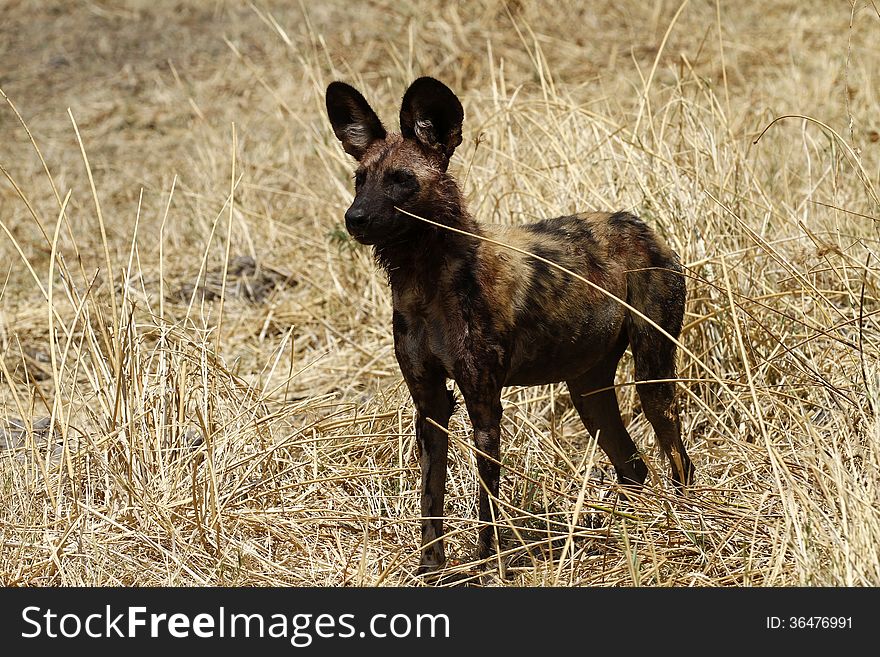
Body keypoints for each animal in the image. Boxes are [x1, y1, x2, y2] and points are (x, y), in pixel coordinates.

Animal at [324, 75, 696, 568]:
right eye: (359, 179)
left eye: (401, 181)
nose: (355, 218)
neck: (425, 280)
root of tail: (640, 225)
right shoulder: (430, 405)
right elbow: (431, 501)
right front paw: (431, 570)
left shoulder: (484, 405)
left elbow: (487, 506)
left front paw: (484, 565)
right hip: (587, 393)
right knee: (632, 466)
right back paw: (622, 531)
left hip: (652, 378)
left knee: (676, 456)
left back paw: (684, 520)